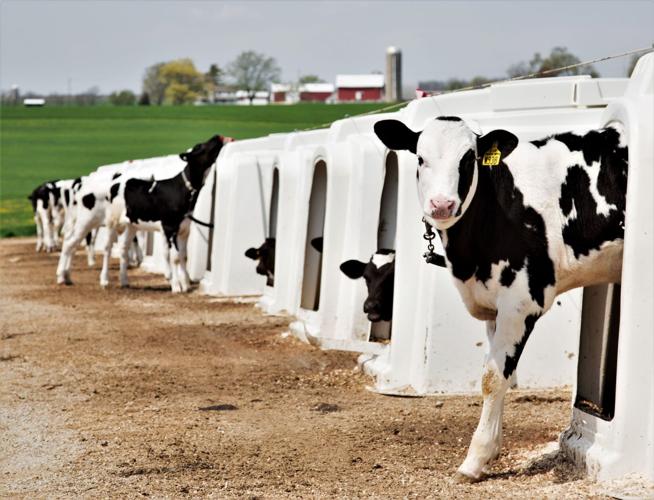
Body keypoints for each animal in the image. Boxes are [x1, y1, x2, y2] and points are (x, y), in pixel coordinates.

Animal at [106, 135, 230, 292]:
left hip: (131, 225)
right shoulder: (170, 228)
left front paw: (186, 284)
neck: (183, 190)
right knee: (107, 248)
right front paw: (177, 287)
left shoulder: (185, 229)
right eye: (199, 146)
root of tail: (119, 178)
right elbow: (174, 257)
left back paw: (124, 282)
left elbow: (183, 256)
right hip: (112, 220)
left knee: (123, 249)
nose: (217, 136)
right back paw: (104, 281)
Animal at [374, 116, 627, 482]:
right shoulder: (494, 307)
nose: (442, 205)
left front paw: (474, 460)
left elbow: (493, 379)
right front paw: (489, 449)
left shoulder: (521, 302)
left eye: (468, 159)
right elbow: (493, 372)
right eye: (420, 158)